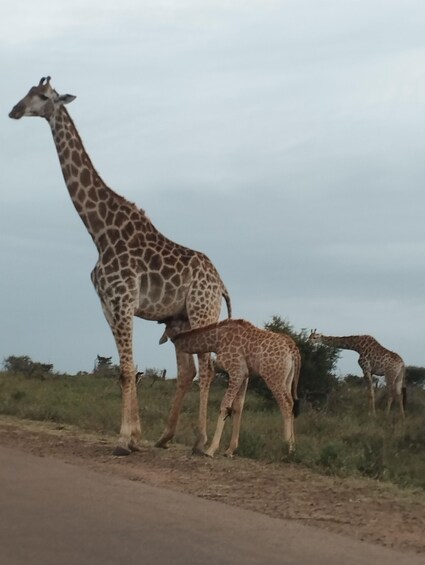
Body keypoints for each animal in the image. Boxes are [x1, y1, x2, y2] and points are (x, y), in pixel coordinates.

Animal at [8, 76, 230, 454]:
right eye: (26, 92)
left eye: (43, 96)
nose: (14, 110)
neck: (99, 232)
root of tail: (222, 283)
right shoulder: (108, 305)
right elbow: (125, 369)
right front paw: (135, 437)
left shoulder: (124, 300)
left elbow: (127, 369)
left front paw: (125, 440)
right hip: (182, 320)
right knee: (189, 370)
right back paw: (166, 437)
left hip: (203, 312)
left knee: (209, 369)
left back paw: (203, 444)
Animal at [160, 320, 302, 456]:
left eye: (168, 327)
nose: (162, 339)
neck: (217, 341)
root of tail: (293, 350)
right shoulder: (245, 375)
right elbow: (237, 407)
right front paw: (230, 450)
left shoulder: (237, 370)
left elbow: (225, 406)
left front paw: (211, 450)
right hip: (286, 379)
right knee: (291, 403)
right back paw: (293, 448)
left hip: (273, 377)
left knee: (285, 405)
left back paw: (287, 449)